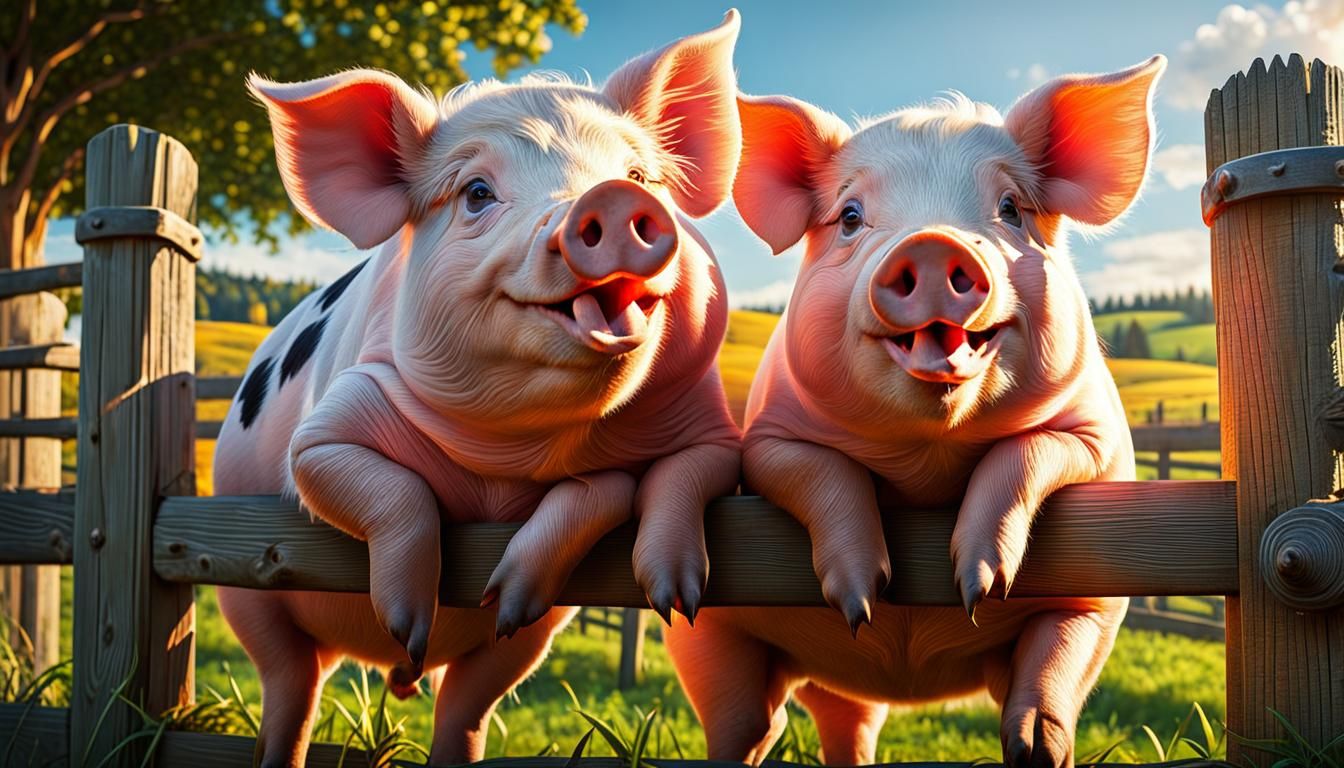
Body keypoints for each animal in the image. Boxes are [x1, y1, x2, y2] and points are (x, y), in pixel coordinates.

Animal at [211, 12, 743, 766]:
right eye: (477, 194)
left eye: (639, 175)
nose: (613, 199)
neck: (507, 459)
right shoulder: (325, 432)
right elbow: (369, 481)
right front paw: (406, 620)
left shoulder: (710, 430)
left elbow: (652, 479)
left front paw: (674, 600)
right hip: (246, 591)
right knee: (290, 686)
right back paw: (392, 660)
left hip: (525, 648)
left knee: (466, 704)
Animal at [666, 57, 1164, 767]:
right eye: (850, 216)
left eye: (1010, 208)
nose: (931, 245)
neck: (927, 455)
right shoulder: (768, 442)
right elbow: (818, 472)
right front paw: (861, 599)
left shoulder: (1102, 444)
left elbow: (1030, 451)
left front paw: (979, 588)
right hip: (705, 636)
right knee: (752, 725)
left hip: (1091, 612)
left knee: (1039, 689)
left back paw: (1035, 747)